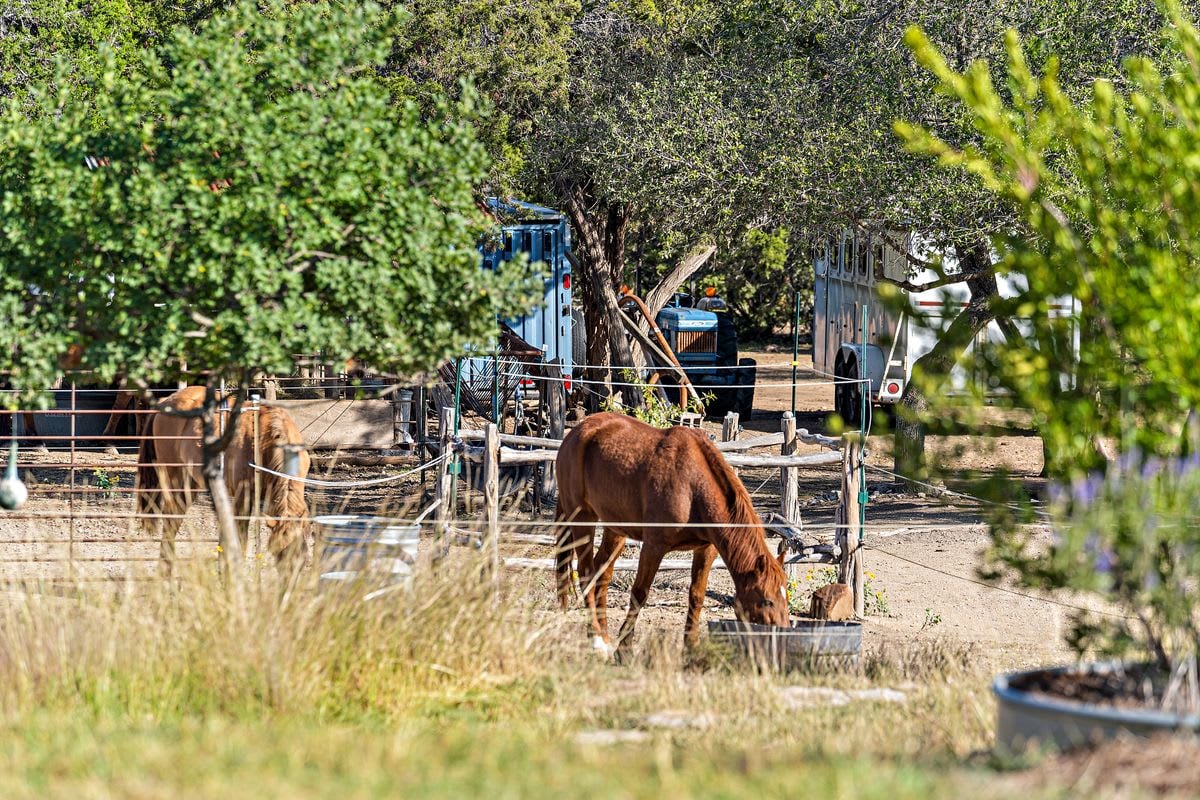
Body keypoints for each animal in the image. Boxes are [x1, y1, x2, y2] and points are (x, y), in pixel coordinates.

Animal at [134, 386, 312, 575]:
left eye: (302, 555)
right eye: (276, 551)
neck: (266, 440)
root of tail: (165, 401)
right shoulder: (243, 497)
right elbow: (240, 538)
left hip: (191, 484)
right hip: (175, 478)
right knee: (170, 520)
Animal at [552, 410, 787, 662]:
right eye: (767, 600)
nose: (782, 638)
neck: (693, 487)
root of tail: (577, 431)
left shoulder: (706, 549)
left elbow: (697, 596)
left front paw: (691, 648)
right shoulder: (654, 547)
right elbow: (640, 593)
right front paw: (624, 649)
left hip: (615, 530)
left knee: (600, 576)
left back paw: (604, 636)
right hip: (582, 519)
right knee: (585, 573)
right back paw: (596, 640)